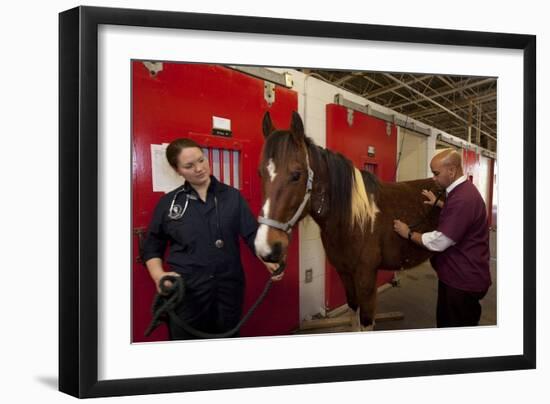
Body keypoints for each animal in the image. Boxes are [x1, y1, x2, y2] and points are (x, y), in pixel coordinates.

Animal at [256, 111, 444, 332]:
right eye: (261, 173)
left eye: (296, 175)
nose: (265, 247)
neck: (355, 220)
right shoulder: (345, 273)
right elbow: (354, 311)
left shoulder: (366, 277)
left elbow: (366, 320)